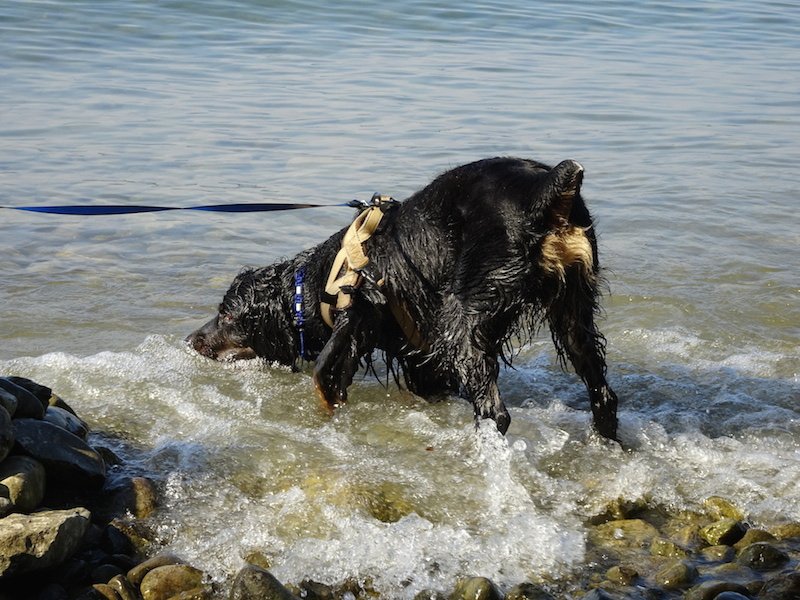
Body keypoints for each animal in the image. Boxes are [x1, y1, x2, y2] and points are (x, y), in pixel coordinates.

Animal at [187, 157, 619, 440]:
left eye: (227, 315)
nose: (191, 339)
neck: (317, 282)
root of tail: (547, 189)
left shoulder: (351, 326)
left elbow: (325, 383)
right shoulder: (420, 358)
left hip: (463, 318)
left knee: (495, 413)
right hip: (573, 310)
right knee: (604, 394)